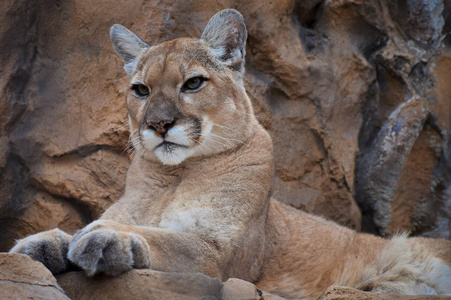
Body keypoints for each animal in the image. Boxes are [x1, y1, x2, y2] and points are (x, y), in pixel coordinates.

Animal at [10, 8, 451, 298]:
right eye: (141, 90)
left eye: (193, 83)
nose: (158, 124)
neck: (174, 176)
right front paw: (42, 242)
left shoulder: (219, 253)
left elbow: (169, 240)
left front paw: (107, 238)